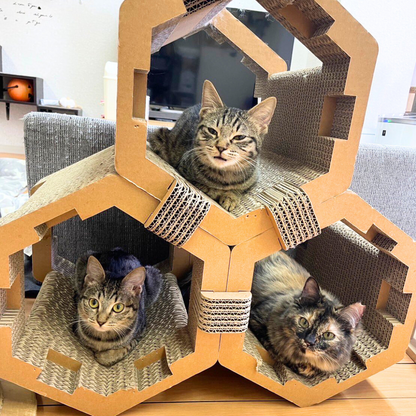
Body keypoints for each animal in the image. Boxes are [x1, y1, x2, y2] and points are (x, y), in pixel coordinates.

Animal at [149, 80, 277, 212]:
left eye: (239, 137)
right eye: (212, 131)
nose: (221, 147)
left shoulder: (254, 178)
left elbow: (240, 189)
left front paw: (231, 196)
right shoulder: (183, 168)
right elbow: (206, 187)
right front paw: (218, 192)